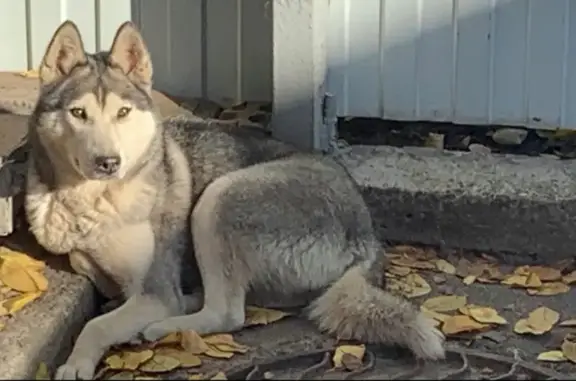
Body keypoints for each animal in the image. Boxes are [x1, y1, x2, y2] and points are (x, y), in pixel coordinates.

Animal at [24, 20, 444, 378]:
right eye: (78, 113)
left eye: (123, 112)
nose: (108, 162)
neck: (92, 200)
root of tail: (368, 234)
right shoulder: (86, 257)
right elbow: (84, 265)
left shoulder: (155, 292)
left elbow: (96, 324)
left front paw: (76, 362)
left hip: (219, 199)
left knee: (227, 314)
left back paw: (165, 325)